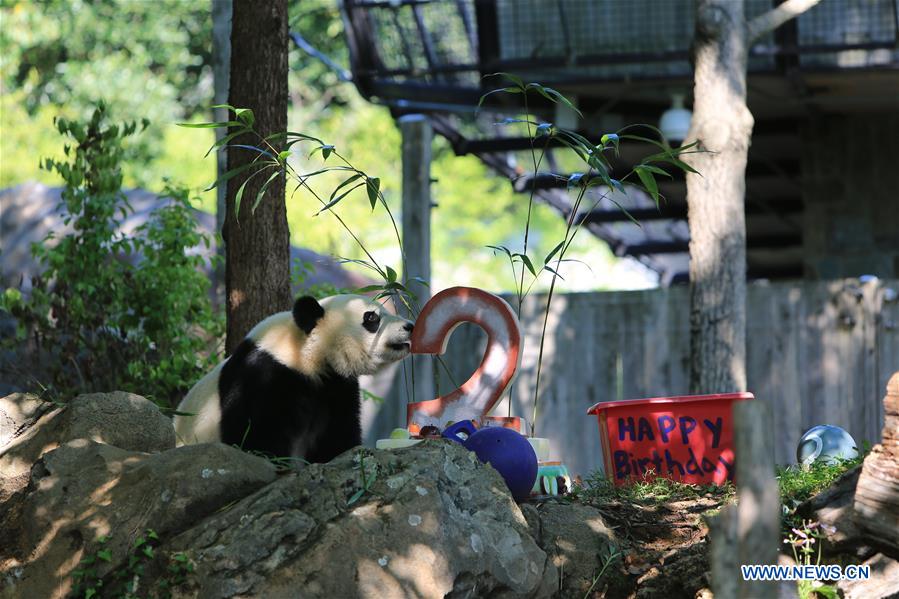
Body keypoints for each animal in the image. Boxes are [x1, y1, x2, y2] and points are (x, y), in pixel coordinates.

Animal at [172, 296, 414, 464]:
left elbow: (337, 432)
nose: (409, 326)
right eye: (371, 317)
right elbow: (253, 431)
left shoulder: (334, 385)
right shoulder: (262, 374)